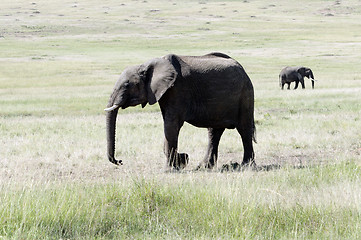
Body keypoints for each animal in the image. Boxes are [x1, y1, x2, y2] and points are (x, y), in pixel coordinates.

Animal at [104, 52, 256, 171]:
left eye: (126, 85)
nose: (120, 161)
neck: (147, 65)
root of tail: (243, 69)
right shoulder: (165, 93)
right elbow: (169, 125)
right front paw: (179, 162)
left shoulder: (178, 90)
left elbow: (171, 125)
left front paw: (169, 169)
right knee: (214, 132)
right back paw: (204, 167)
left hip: (245, 94)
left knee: (244, 130)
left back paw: (246, 166)